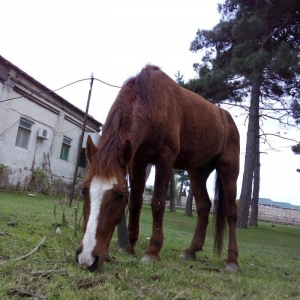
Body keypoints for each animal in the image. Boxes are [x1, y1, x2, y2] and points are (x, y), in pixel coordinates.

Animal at [76, 65, 240, 272]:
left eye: (119, 195)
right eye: (84, 190)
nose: (87, 258)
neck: (151, 102)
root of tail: (227, 118)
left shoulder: (165, 158)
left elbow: (158, 203)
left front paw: (152, 251)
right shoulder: (137, 160)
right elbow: (136, 202)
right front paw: (129, 246)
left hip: (229, 169)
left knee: (232, 212)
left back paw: (232, 260)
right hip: (197, 171)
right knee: (204, 207)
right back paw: (191, 250)